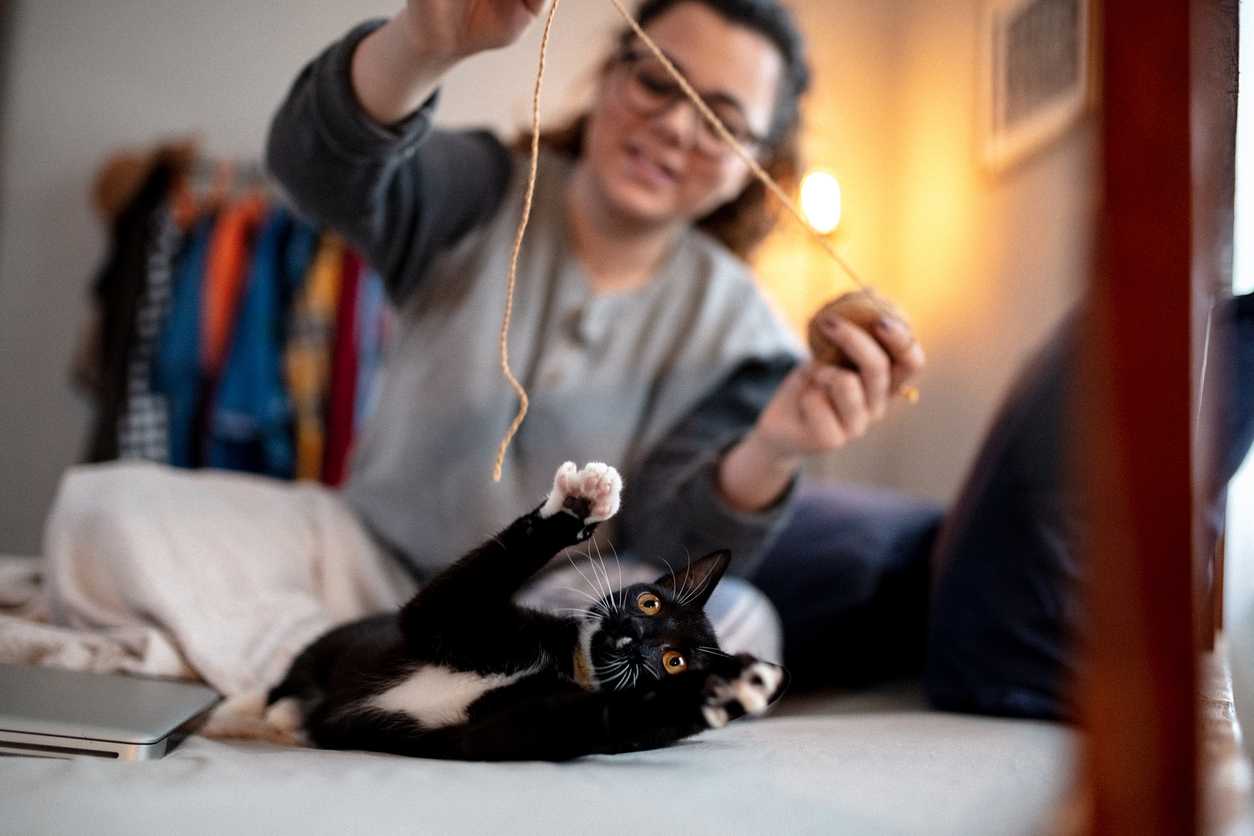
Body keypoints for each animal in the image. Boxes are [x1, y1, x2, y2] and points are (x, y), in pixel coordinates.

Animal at [267, 461, 782, 762]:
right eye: (649, 602)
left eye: (674, 661)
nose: (632, 631)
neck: (567, 664)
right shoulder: (448, 618)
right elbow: (458, 589)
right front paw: (580, 504)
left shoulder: (514, 731)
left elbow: (605, 715)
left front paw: (730, 688)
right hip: (339, 641)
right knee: (294, 675)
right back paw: (276, 712)